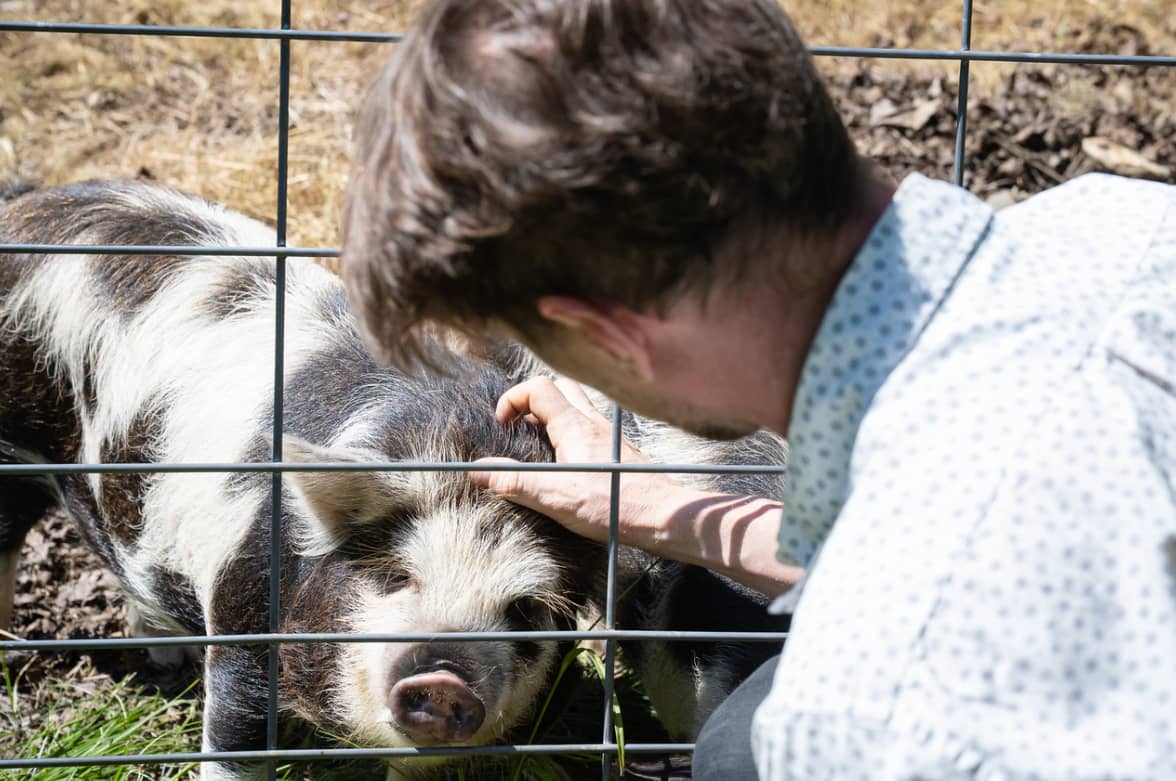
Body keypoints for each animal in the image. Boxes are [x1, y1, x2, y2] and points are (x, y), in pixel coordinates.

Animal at [0, 178, 606, 781]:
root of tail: (27, 205)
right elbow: (233, 740)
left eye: (523, 612)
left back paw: (170, 659)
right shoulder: (246, 622)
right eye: (397, 576)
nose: (443, 680)